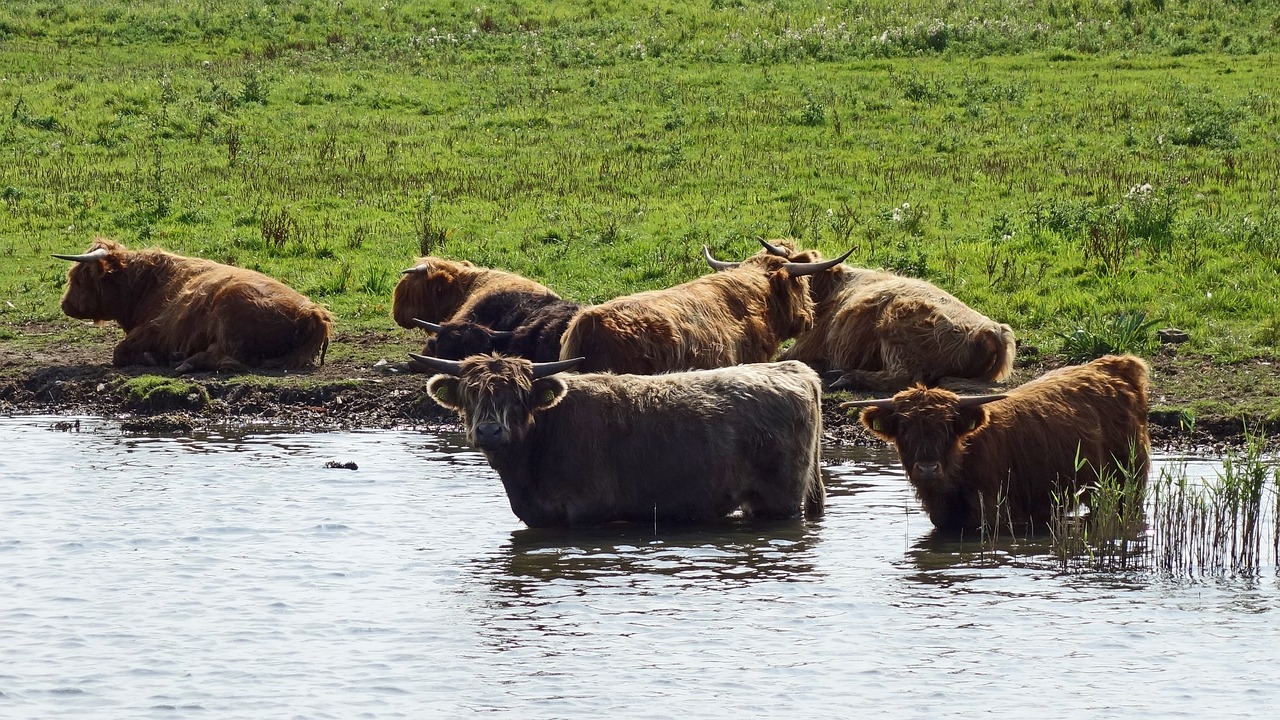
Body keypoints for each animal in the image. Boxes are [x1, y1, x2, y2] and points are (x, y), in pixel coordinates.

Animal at [55, 237, 335, 371]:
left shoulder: (155, 328)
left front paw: (151, 357)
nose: (65, 304)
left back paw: (185, 361)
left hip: (229, 318)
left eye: (79, 277)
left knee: (229, 360)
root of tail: (312, 313)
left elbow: (119, 352)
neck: (147, 285)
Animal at [414, 353, 824, 527]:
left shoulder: (588, 511)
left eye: (517, 397)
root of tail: (792, 369)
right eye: (470, 394)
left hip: (779, 500)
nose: (488, 431)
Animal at [844, 353, 1157, 532]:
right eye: (905, 428)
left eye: (946, 428)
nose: (927, 469)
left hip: (1128, 481)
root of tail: (1115, 364)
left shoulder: (992, 512)